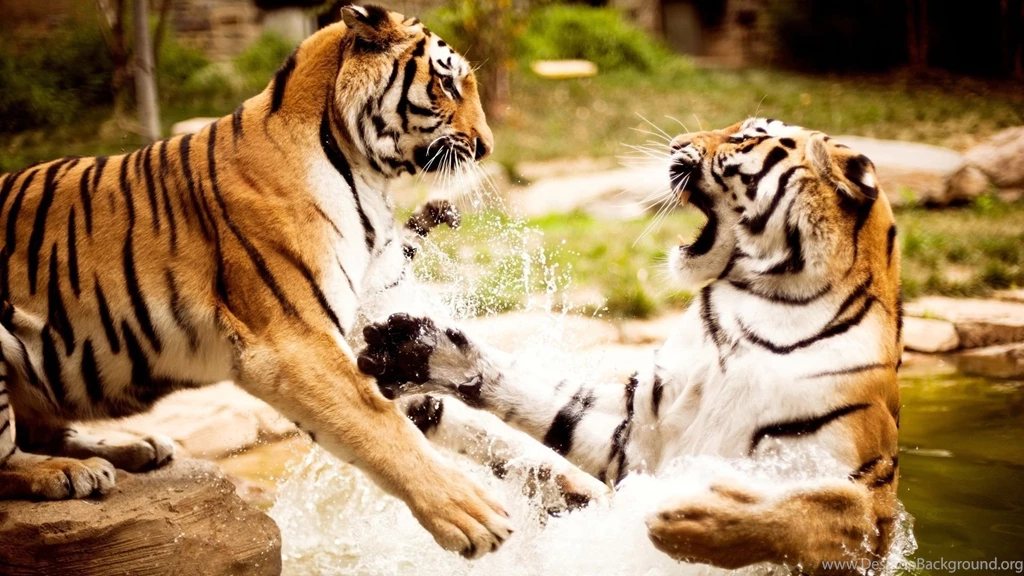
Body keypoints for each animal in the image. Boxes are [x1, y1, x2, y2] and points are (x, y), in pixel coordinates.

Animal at [0, 5, 517, 559]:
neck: (363, 171)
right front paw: (473, 515)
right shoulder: (293, 341)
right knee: (8, 456)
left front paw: (549, 481)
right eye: (447, 83)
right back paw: (68, 472)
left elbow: (436, 413)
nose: (487, 147)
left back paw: (135, 448)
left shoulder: (364, 333)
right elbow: (380, 424)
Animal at [358, 117, 904, 572]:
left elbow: (808, 510)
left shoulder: (869, 501)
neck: (758, 308)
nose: (676, 144)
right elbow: (547, 398)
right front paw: (418, 350)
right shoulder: (638, 430)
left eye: (745, 137)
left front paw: (688, 519)